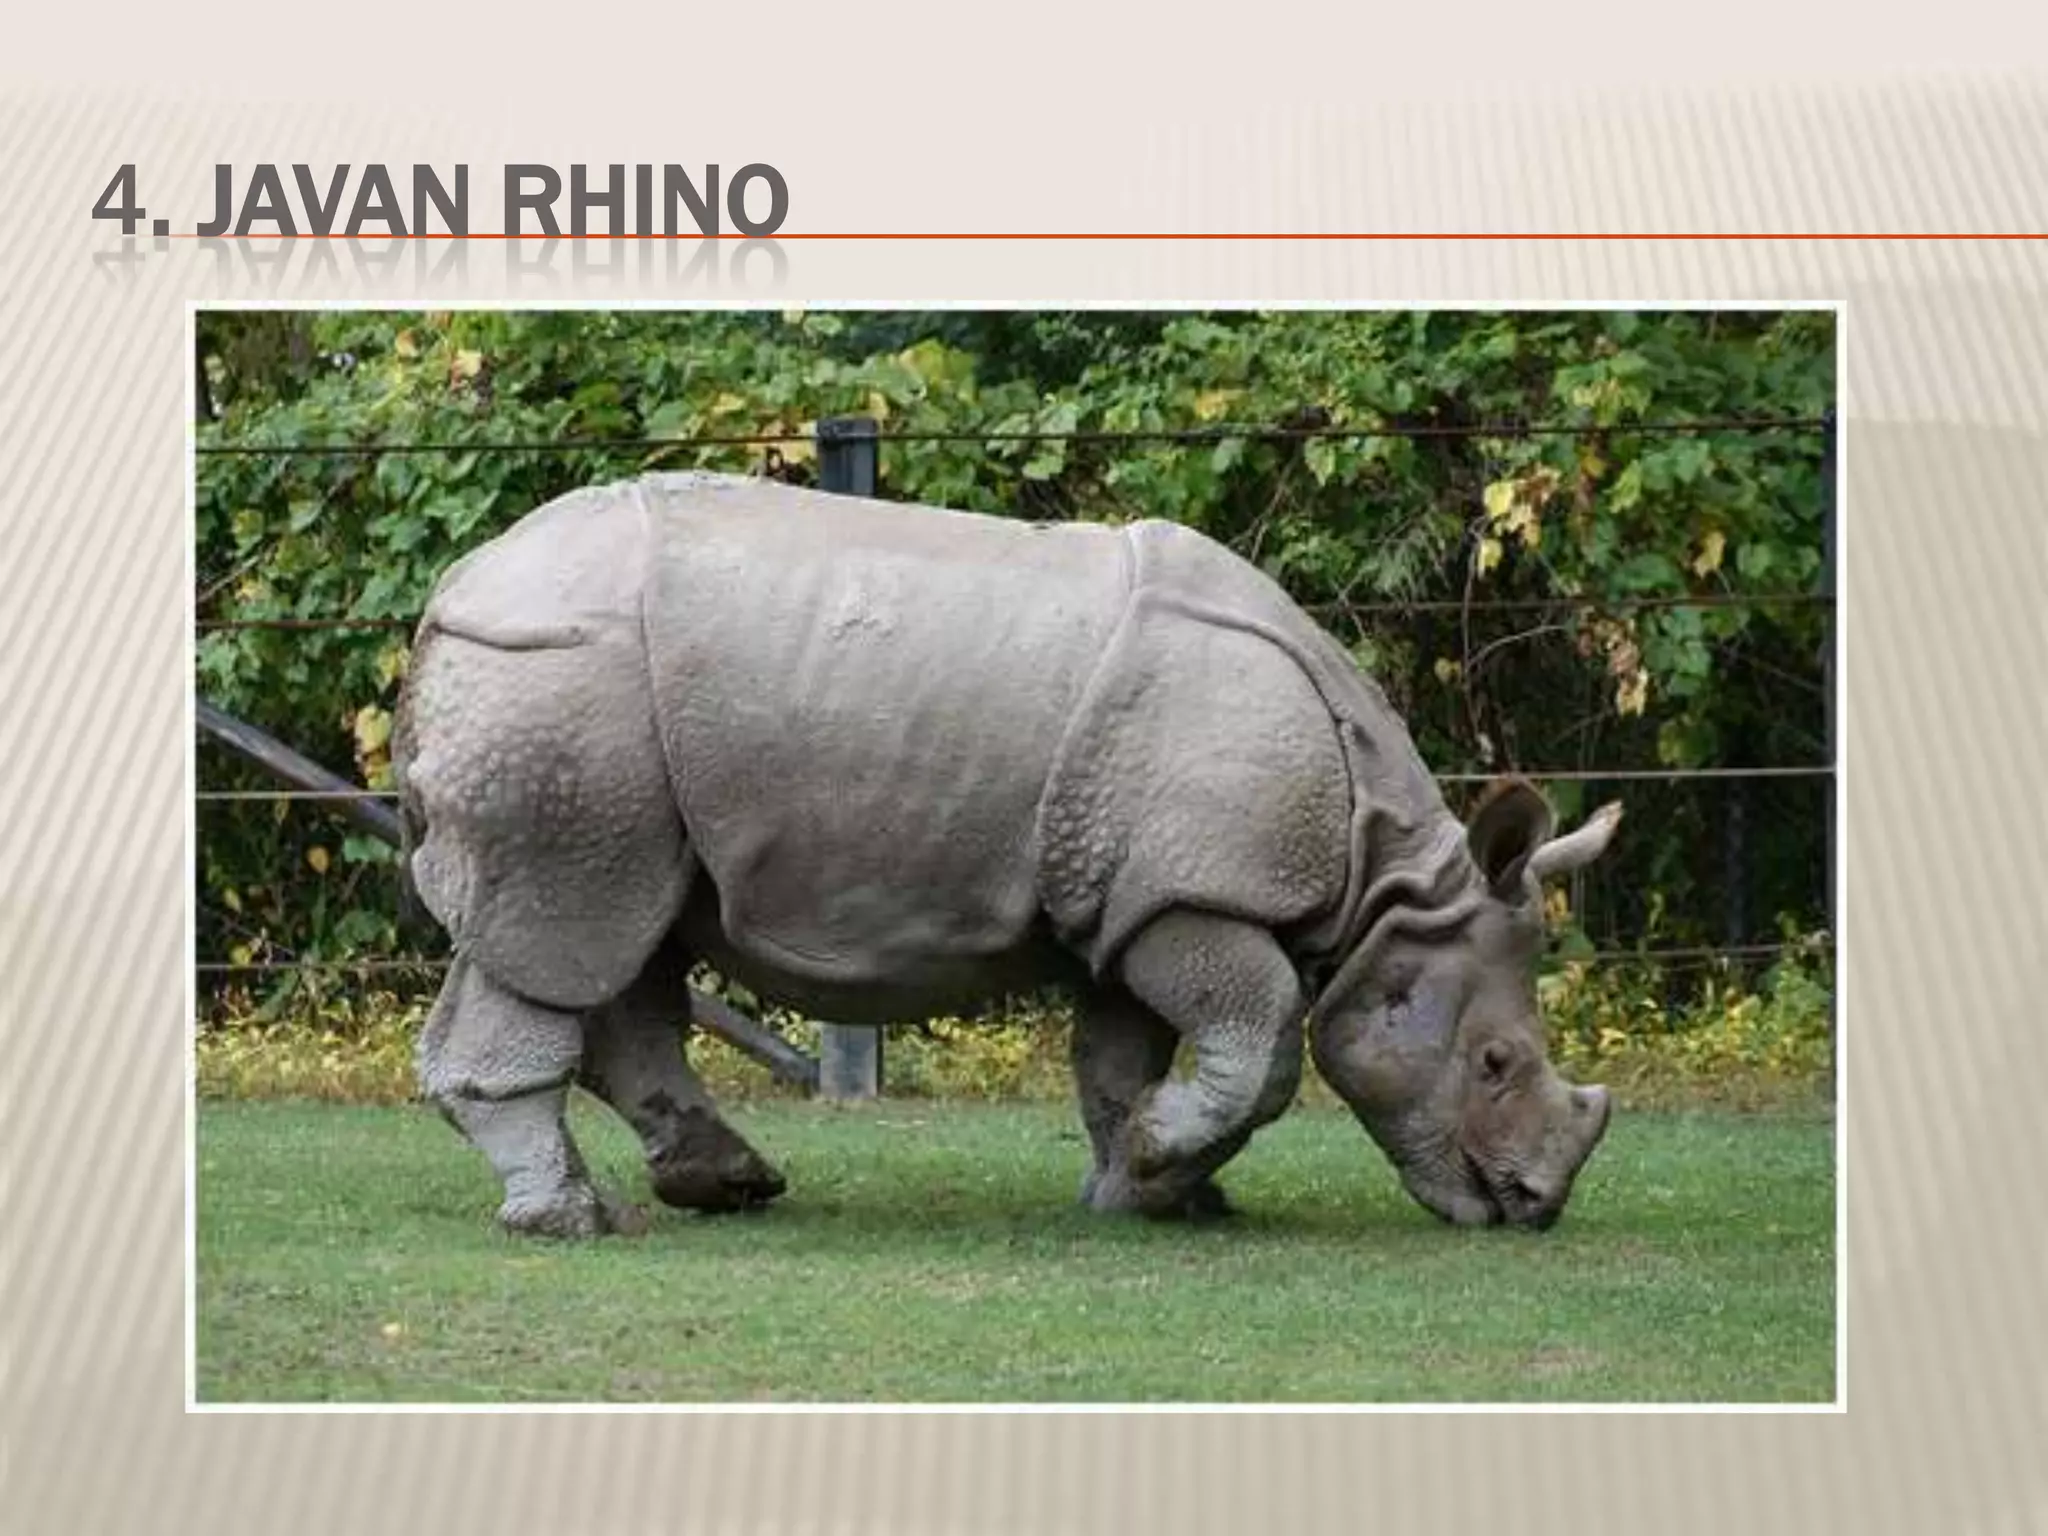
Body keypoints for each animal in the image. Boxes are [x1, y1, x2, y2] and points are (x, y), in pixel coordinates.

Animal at [392, 471, 1621, 1238]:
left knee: (622, 941)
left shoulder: (1131, 897)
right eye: (1494, 1063)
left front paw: (1147, 1185)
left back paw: (726, 1184)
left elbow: (1119, 1060)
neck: (1385, 875)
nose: (1533, 1207)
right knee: (564, 929)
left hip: (589, 723)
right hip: (560, 690)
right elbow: (1263, 1036)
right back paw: (573, 1221)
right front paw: (1162, 1166)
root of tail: (453, 592)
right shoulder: (1191, 892)